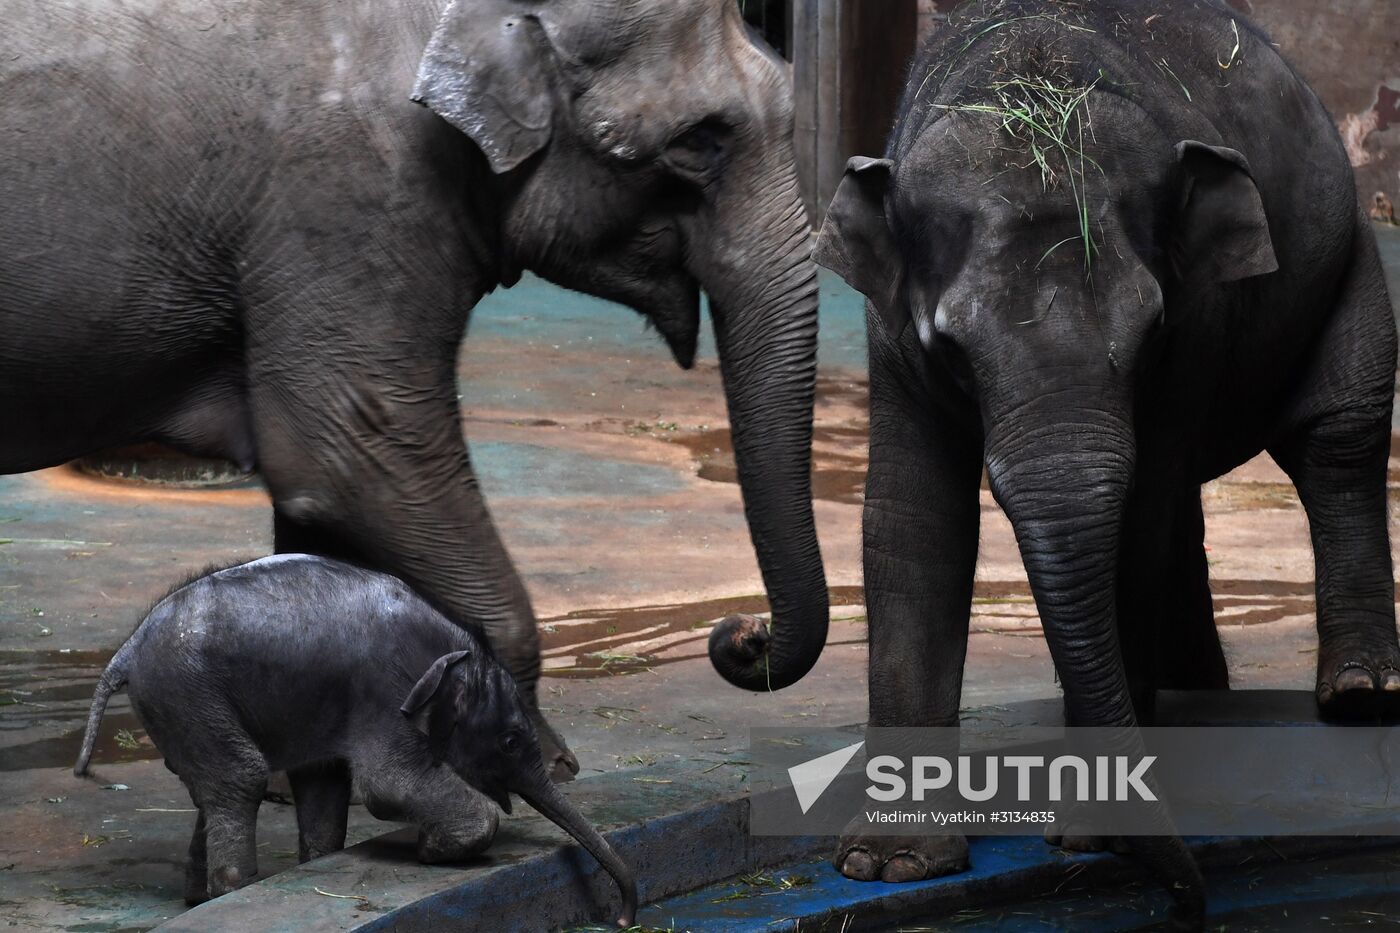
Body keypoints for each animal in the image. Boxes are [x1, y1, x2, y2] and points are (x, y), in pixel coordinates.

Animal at [75, 555, 638, 927]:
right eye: (510, 741)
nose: (623, 919)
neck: (455, 649)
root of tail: (127, 649)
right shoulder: (385, 692)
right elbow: (386, 787)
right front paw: (429, 853)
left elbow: (325, 785)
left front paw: (325, 860)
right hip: (187, 693)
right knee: (241, 777)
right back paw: (235, 890)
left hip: (186, 704)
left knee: (216, 789)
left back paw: (203, 898)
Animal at [814, 0, 1396, 925]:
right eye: (953, 345)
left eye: (1151, 331)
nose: (1190, 903)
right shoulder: (890, 332)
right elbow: (915, 520)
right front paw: (891, 864)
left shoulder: (1199, 312)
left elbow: (1139, 517)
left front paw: (1092, 835)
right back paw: (1205, 694)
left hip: (1349, 257)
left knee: (1338, 436)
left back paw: (1359, 692)